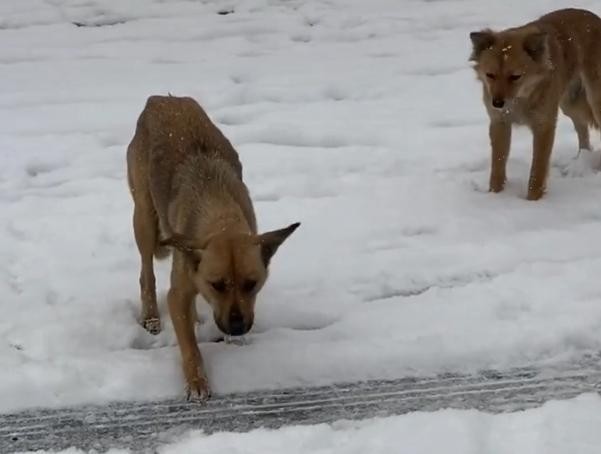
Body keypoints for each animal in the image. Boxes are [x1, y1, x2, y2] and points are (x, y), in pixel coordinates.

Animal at [125, 96, 298, 400]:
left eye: (252, 284)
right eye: (217, 285)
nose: (238, 328)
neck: (220, 217)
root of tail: (161, 99)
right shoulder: (178, 293)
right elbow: (189, 344)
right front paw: (196, 381)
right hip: (144, 217)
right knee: (146, 272)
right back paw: (151, 316)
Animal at [468, 7, 600, 200]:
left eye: (515, 76)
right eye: (490, 75)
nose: (497, 103)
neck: (521, 99)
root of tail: (595, 18)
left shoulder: (543, 125)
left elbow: (537, 169)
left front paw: (533, 201)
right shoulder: (499, 123)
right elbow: (498, 165)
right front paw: (495, 196)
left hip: (595, 100)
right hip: (570, 104)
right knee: (583, 132)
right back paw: (581, 161)